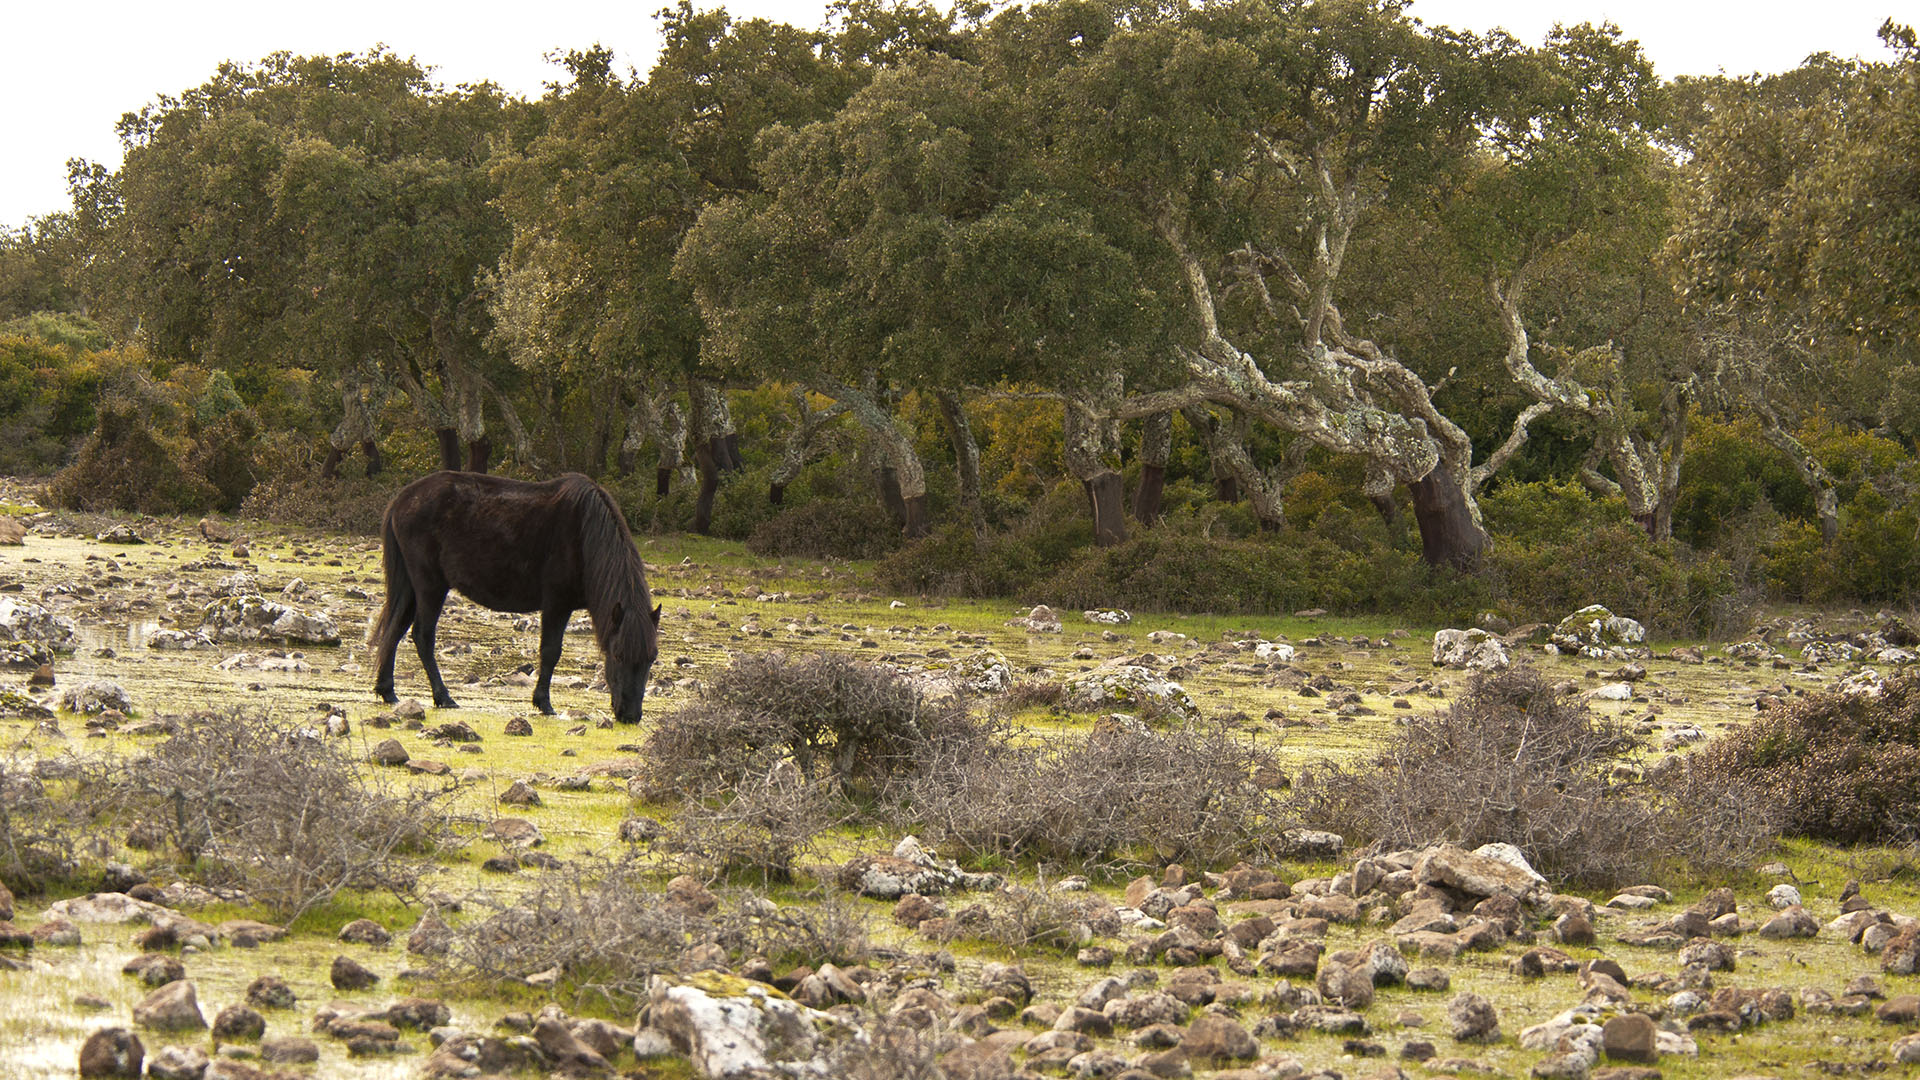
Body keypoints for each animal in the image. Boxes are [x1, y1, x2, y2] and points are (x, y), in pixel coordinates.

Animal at [370, 470, 664, 722]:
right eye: (618, 656)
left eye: (651, 658)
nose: (630, 715)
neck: (584, 533)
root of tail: (403, 499)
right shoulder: (556, 604)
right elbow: (550, 652)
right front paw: (543, 702)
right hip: (431, 586)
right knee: (422, 636)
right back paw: (443, 696)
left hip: (411, 586)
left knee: (395, 629)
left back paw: (387, 690)